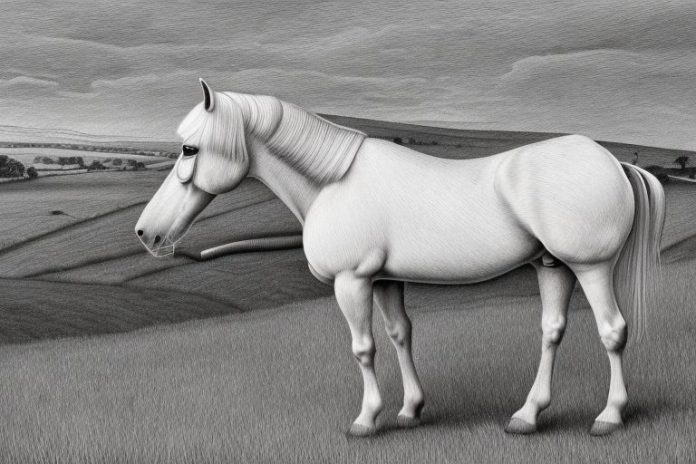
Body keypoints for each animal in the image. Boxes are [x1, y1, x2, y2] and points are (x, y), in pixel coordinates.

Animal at [135, 79, 665, 437]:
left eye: (189, 148)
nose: (146, 233)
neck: (334, 183)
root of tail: (611, 160)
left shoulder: (351, 282)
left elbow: (364, 348)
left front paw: (367, 419)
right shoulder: (385, 279)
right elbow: (399, 336)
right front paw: (410, 410)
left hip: (590, 267)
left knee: (612, 331)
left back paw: (609, 416)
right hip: (553, 267)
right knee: (552, 331)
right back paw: (527, 415)